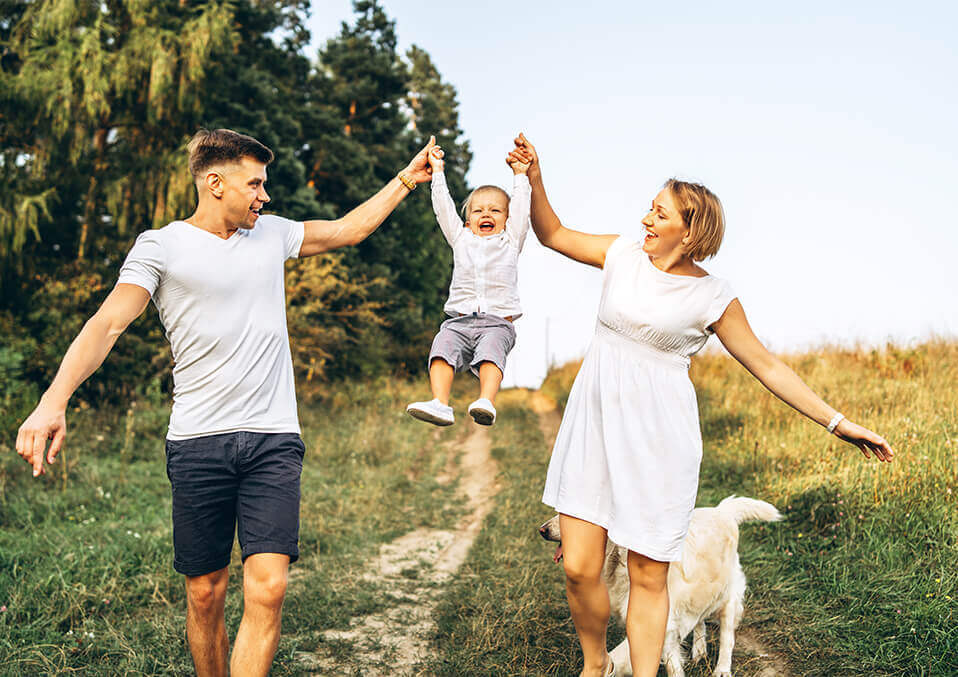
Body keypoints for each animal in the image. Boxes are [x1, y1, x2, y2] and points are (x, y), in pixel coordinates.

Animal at [540, 494, 780, 672]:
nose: (542, 530)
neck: (621, 557)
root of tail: (722, 511)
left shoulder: (662, 622)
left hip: (728, 597)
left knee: (727, 638)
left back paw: (721, 670)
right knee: (700, 619)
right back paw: (699, 651)